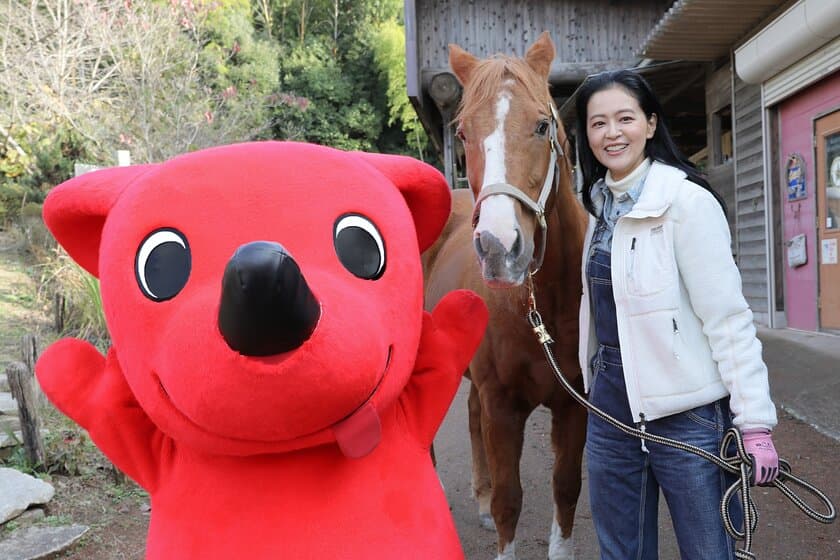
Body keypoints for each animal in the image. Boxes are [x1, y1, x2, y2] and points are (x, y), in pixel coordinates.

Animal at [424, 32, 588, 556]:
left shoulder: (574, 402)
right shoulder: (503, 404)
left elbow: (565, 487)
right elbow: (508, 502)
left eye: (542, 125)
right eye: (461, 134)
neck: (540, 306)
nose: (499, 247)